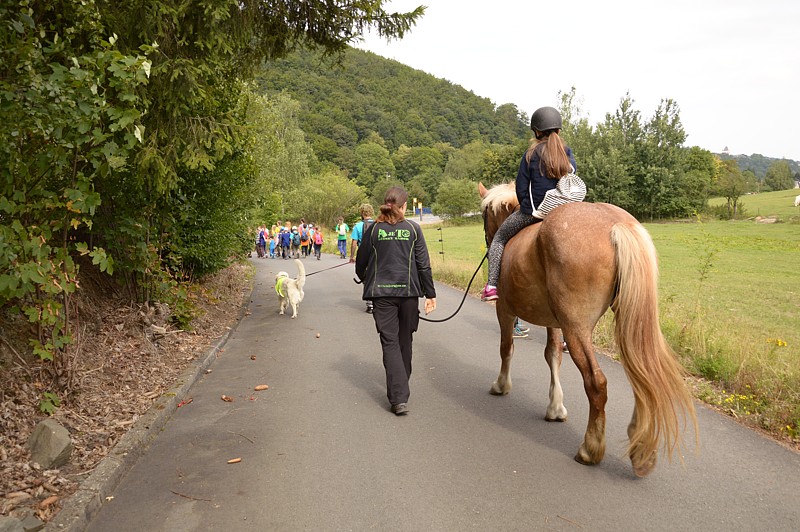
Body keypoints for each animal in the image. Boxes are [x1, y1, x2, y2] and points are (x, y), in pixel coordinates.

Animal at [478, 183, 696, 478]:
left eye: (484, 215)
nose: (488, 241)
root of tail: (615, 223)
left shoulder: (505, 310)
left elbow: (506, 348)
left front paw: (501, 385)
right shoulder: (553, 320)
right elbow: (552, 355)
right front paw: (555, 407)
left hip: (577, 327)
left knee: (596, 382)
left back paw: (590, 448)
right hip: (625, 321)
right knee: (642, 377)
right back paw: (641, 451)